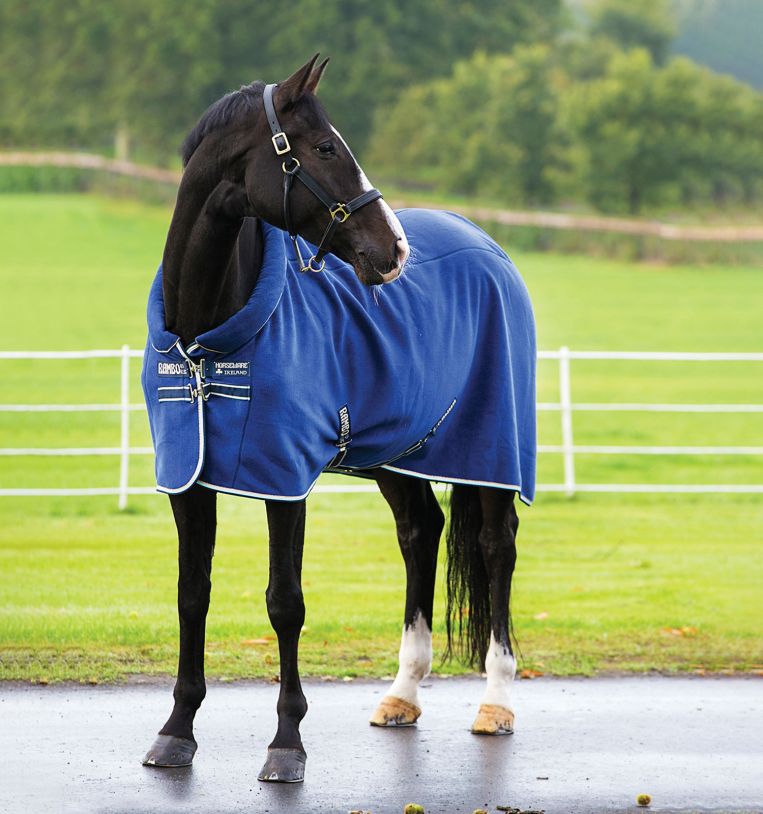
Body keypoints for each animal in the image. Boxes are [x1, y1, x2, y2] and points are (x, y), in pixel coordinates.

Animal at [141, 54, 536, 784]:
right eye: (324, 147)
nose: (395, 250)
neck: (208, 338)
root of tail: (486, 245)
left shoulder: (283, 481)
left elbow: (284, 602)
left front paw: (286, 745)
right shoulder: (189, 480)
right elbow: (191, 594)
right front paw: (176, 733)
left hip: (493, 452)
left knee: (497, 548)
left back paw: (496, 702)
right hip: (400, 453)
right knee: (420, 532)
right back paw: (402, 693)